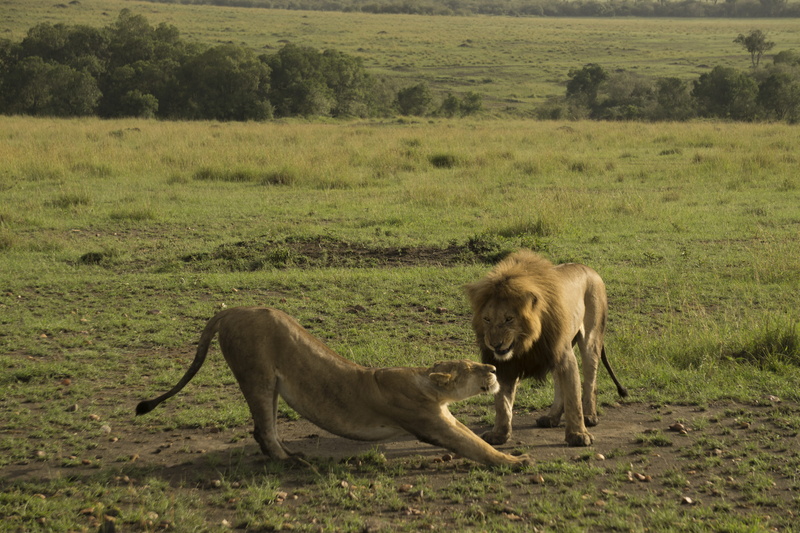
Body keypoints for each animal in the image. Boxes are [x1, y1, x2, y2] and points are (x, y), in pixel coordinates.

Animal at [136, 306, 532, 467]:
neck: (425, 381)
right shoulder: (429, 422)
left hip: (270, 384)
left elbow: (473, 439)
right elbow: (475, 445)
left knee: (263, 429)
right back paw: (290, 461)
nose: (493, 366)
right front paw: (515, 461)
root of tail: (230, 310)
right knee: (265, 429)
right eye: (473, 368)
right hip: (257, 376)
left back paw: (289, 455)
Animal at [465, 250, 628, 447]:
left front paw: (578, 434)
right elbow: (502, 403)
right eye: (487, 319)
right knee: (559, 383)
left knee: (590, 379)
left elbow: (574, 398)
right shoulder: (506, 365)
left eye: (509, 319)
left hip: (591, 338)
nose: (495, 344)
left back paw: (589, 416)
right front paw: (499, 434)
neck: (526, 341)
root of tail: (590, 269)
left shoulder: (565, 356)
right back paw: (552, 417)